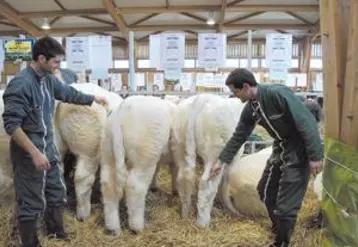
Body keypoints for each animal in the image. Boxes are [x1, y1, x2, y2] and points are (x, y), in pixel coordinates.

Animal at [100, 95, 176, 235]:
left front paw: (155, 186)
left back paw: (113, 228)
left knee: (108, 186)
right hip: (145, 156)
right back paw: (137, 226)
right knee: (135, 187)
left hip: (108, 152)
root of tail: (122, 108)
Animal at [171, 94, 246, 228]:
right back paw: (203, 223)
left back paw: (185, 214)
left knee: (183, 178)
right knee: (206, 185)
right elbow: (225, 183)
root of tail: (201, 98)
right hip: (214, 155)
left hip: (180, 147)